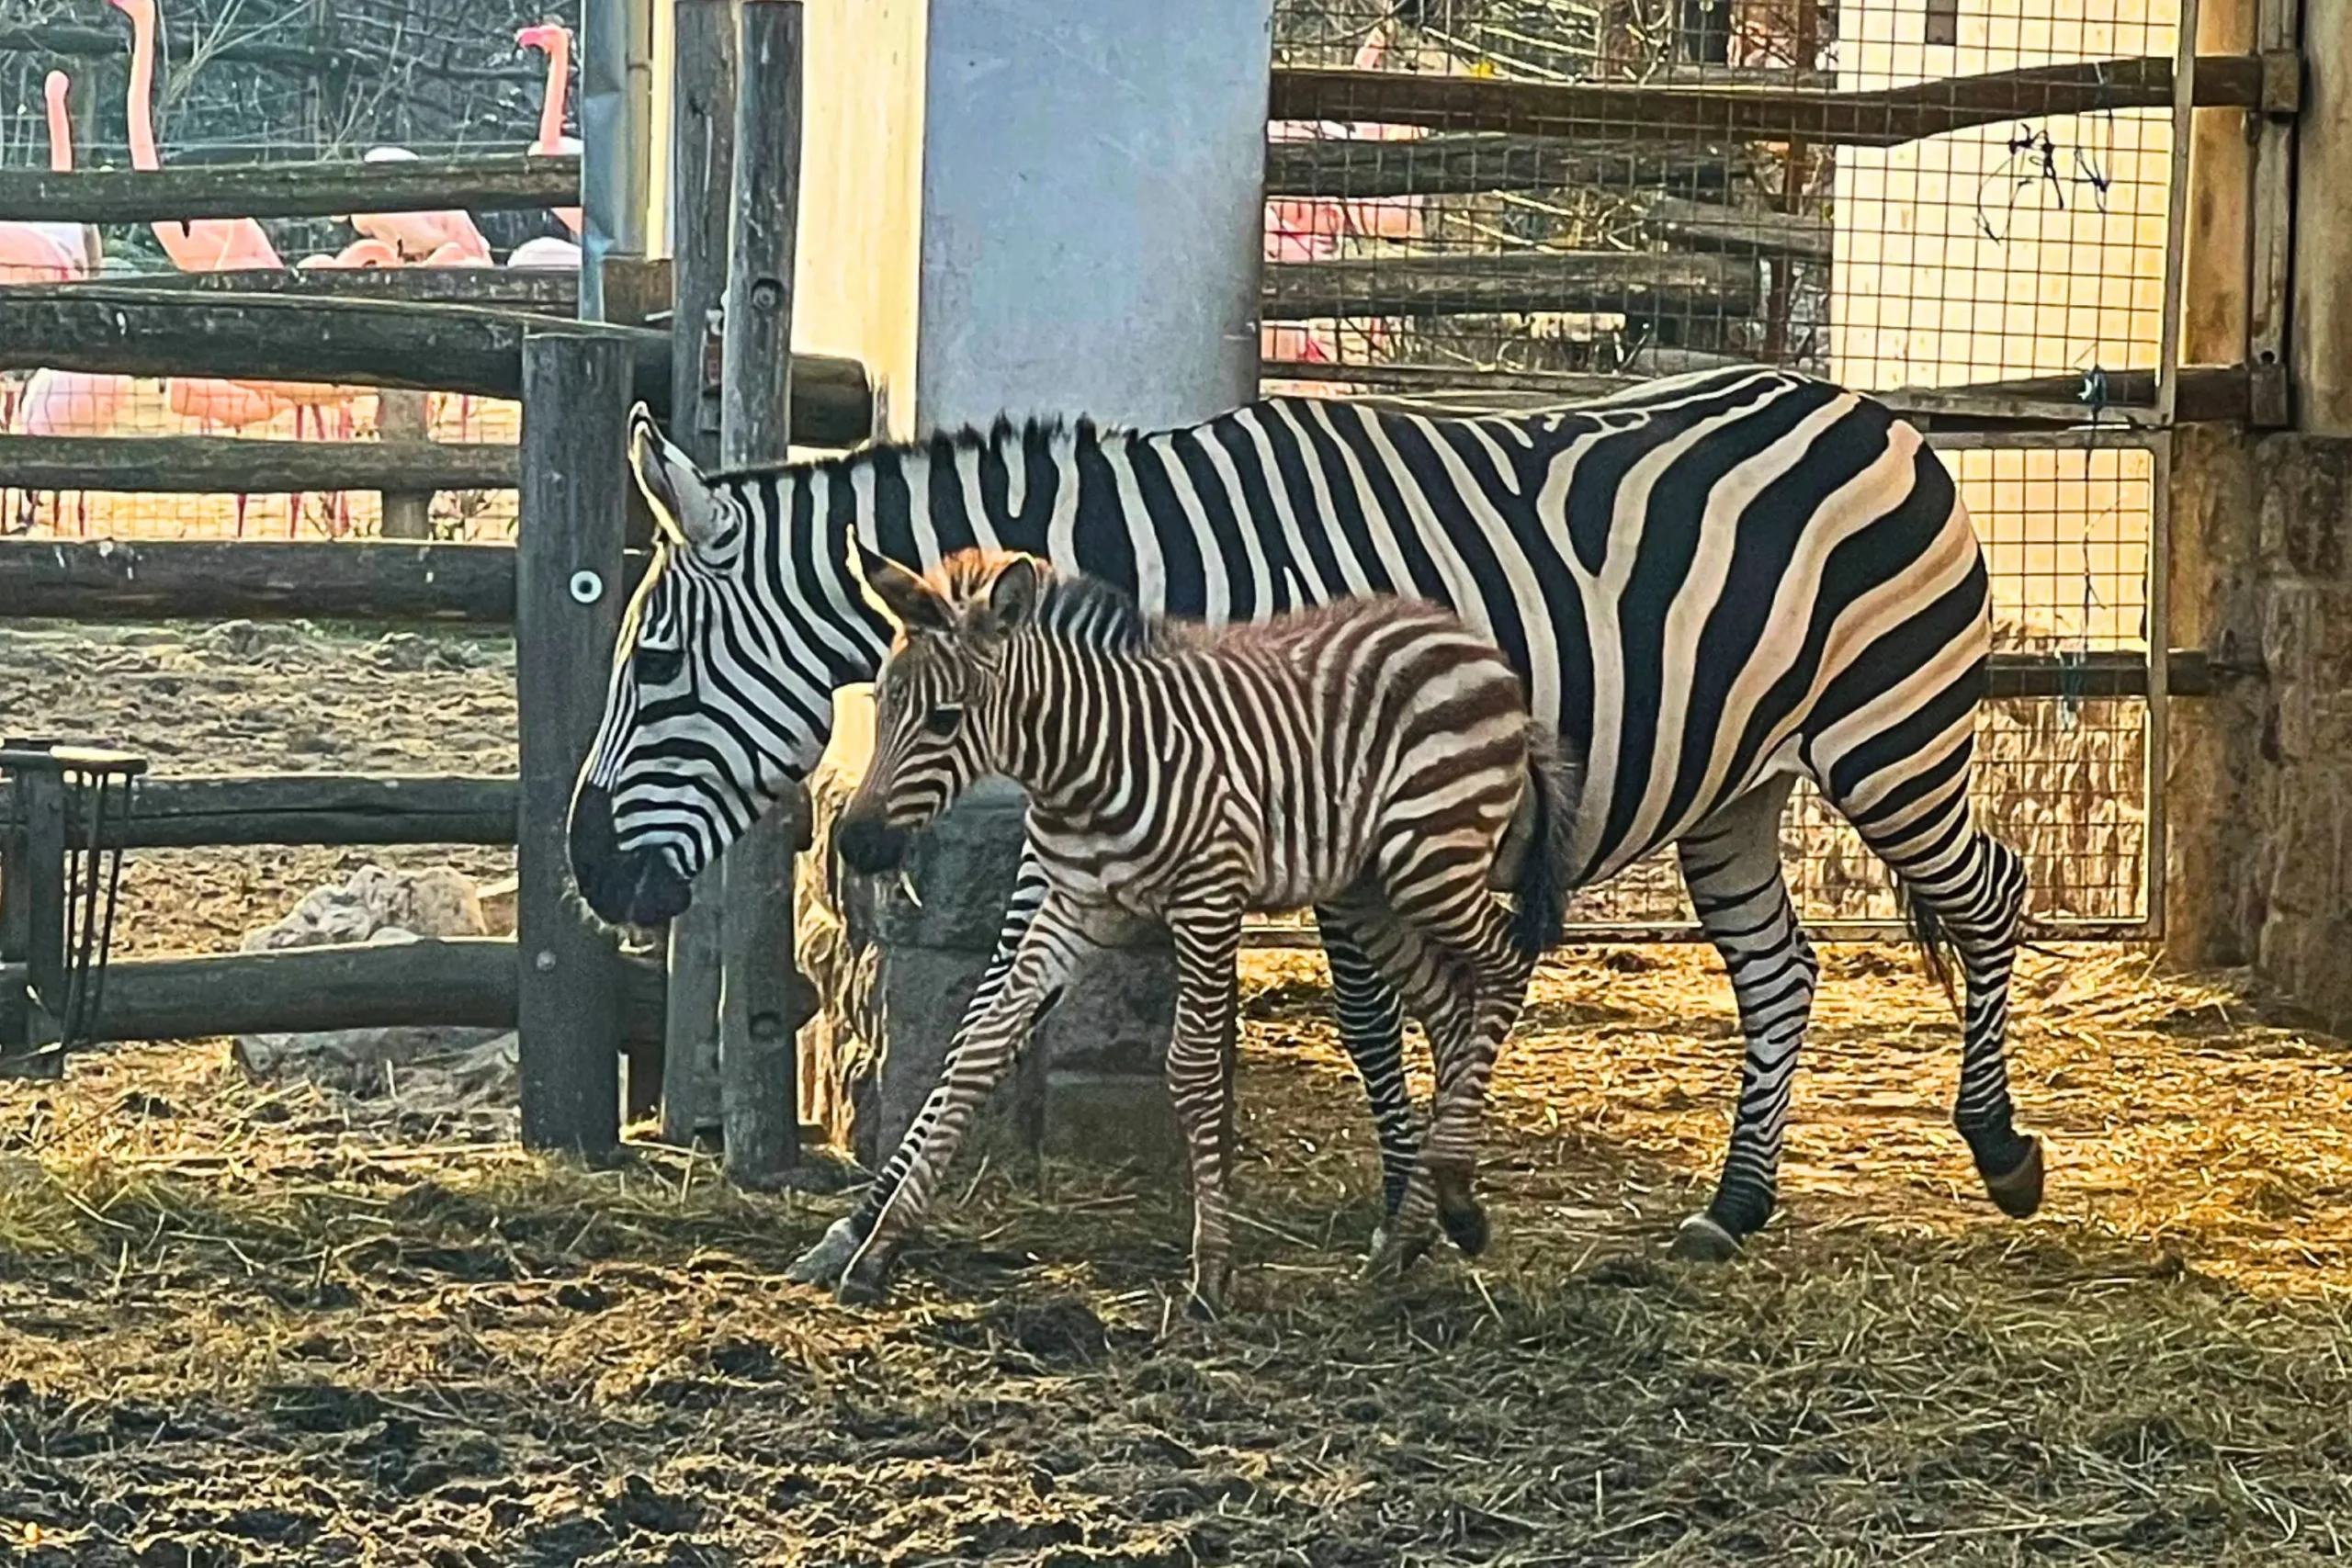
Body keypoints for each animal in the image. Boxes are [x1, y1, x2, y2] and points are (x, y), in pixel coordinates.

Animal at [828, 545, 1580, 1306]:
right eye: (881, 706)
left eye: (946, 719)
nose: (856, 844)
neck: (1088, 762)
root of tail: (1469, 643)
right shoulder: (1075, 904)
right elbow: (981, 1045)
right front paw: (879, 1248)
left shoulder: (1208, 899)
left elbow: (1191, 1070)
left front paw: (1212, 1267)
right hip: (1371, 889)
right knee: (1453, 1002)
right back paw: (1417, 1230)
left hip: (1432, 855)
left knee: (1505, 965)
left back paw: (1451, 1192)